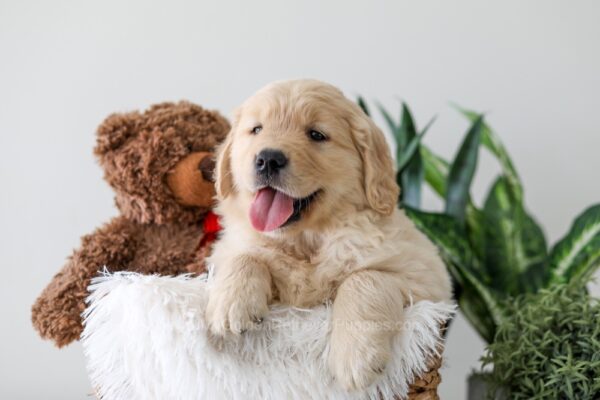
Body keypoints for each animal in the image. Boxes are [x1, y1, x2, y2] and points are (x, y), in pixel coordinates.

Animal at [206, 79, 450, 392]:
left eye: (316, 135)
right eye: (256, 129)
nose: (268, 158)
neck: (308, 241)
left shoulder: (427, 280)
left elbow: (365, 278)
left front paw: (356, 358)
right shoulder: (229, 250)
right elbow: (244, 256)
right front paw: (231, 306)